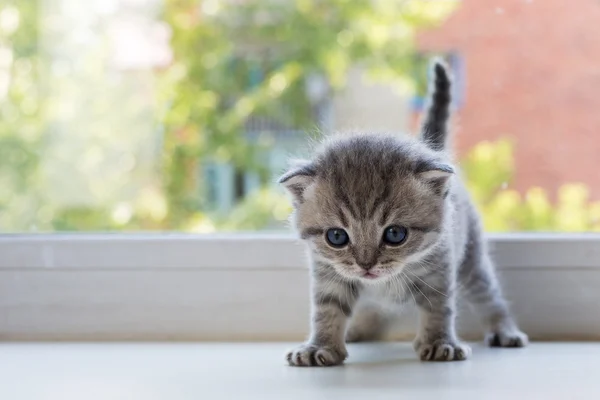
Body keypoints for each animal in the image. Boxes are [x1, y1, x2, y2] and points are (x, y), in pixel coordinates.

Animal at [278, 59, 528, 366]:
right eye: (336, 237)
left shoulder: (439, 269)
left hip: (472, 258)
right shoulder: (328, 273)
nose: (366, 265)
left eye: (395, 234)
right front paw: (320, 346)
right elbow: (327, 309)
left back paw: (505, 330)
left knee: (489, 295)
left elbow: (438, 308)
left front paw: (440, 343)